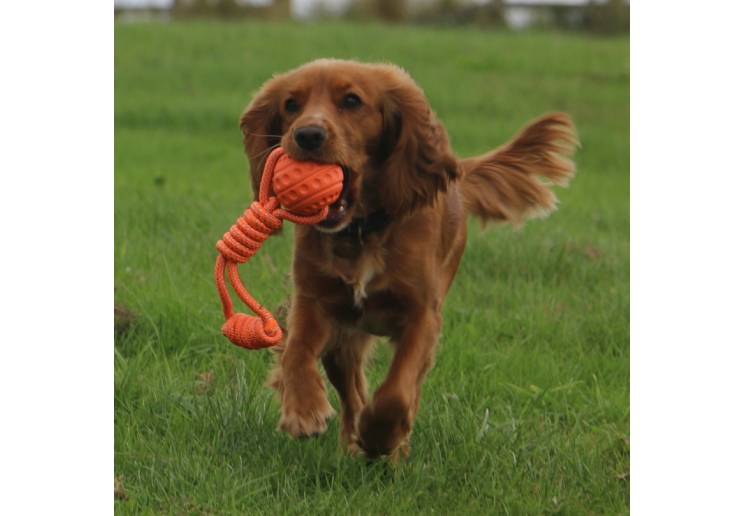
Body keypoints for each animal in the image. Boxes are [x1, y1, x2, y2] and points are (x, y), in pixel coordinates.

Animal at [241, 58, 580, 458]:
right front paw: (303, 409)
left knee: (403, 390)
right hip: (344, 340)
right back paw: (351, 442)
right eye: (291, 105)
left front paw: (381, 436)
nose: (308, 135)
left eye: (352, 100)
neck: (363, 230)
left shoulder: (422, 316)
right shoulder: (315, 302)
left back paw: (387, 446)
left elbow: (397, 393)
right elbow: (296, 349)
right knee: (353, 393)